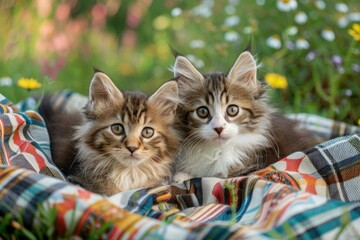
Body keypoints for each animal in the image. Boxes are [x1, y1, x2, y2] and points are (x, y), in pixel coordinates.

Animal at [174, 51, 318, 182]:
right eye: (202, 111)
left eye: (232, 110)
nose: (219, 128)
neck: (218, 151)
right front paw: (182, 175)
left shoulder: (250, 168)